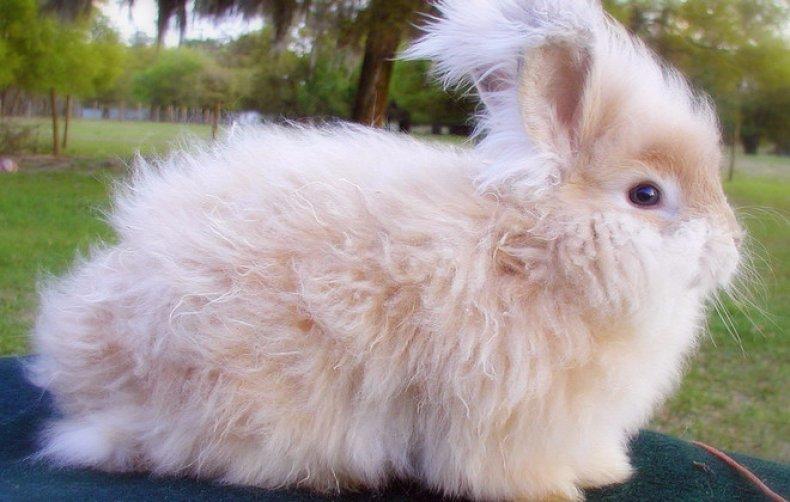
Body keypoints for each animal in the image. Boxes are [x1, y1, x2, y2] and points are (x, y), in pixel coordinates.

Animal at [28, 0, 743, 500]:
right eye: (646, 195)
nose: (732, 244)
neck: (533, 250)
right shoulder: (506, 413)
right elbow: (502, 467)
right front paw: (555, 491)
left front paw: (604, 471)